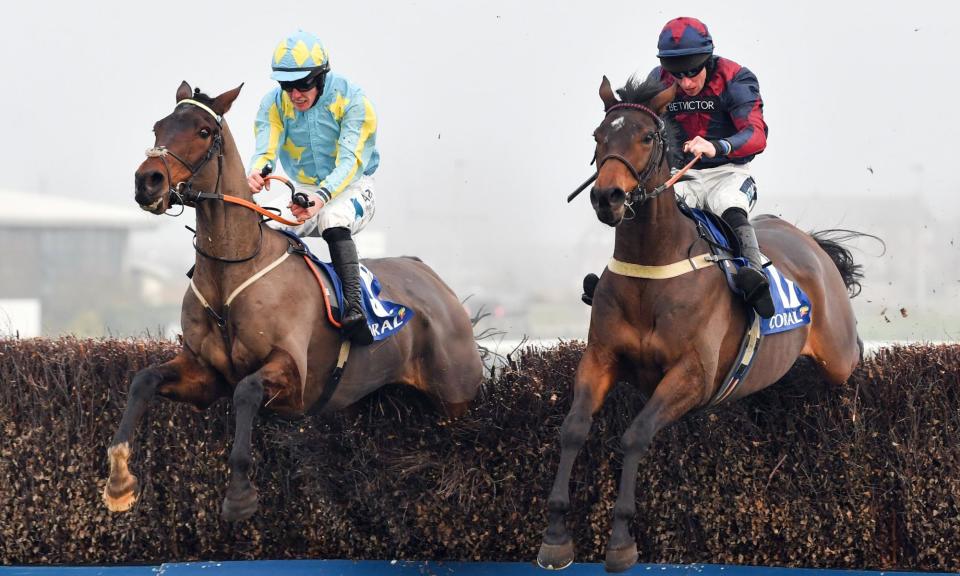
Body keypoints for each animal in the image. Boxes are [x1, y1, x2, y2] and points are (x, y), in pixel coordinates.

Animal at [101, 82, 484, 520]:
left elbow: (246, 391)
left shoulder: (293, 377)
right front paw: (119, 482)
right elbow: (143, 380)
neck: (233, 270)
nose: (147, 181)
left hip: (454, 400)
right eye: (158, 127)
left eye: (203, 131)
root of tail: (436, 281)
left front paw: (239, 495)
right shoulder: (204, 374)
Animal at [536, 76, 868, 572]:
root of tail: (810, 242)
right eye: (598, 136)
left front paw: (621, 541)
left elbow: (635, 436)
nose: (606, 197)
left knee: (852, 361)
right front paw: (556, 535)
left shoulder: (694, 375)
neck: (653, 266)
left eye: (646, 137)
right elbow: (573, 428)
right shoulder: (600, 358)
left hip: (838, 357)